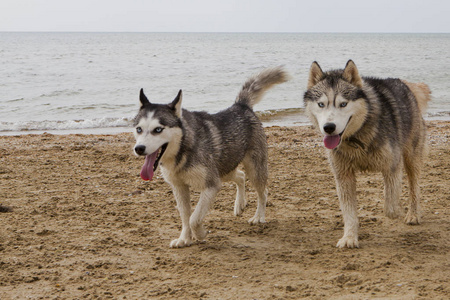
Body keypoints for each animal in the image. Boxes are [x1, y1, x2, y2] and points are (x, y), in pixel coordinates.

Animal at [133, 67, 288, 247]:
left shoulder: (211, 185)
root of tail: (240, 106)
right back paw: (240, 204)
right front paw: (184, 238)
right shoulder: (179, 187)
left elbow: (194, 218)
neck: (182, 150)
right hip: (225, 169)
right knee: (241, 176)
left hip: (253, 169)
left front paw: (200, 234)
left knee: (263, 192)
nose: (139, 148)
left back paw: (258, 216)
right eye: (139, 129)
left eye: (158, 129)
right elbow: (185, 217)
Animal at [304, 59, 430, 247]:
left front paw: (398, 211)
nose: (329, 127)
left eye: (343, 104)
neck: (356, 138)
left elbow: (390, 207)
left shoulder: (392, 165)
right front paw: (349, 237)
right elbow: (349, 212)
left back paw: (413, 214)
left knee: (414, 187)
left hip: (411, 158)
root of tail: (403, 83)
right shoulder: (343, 176)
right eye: (321, 104)